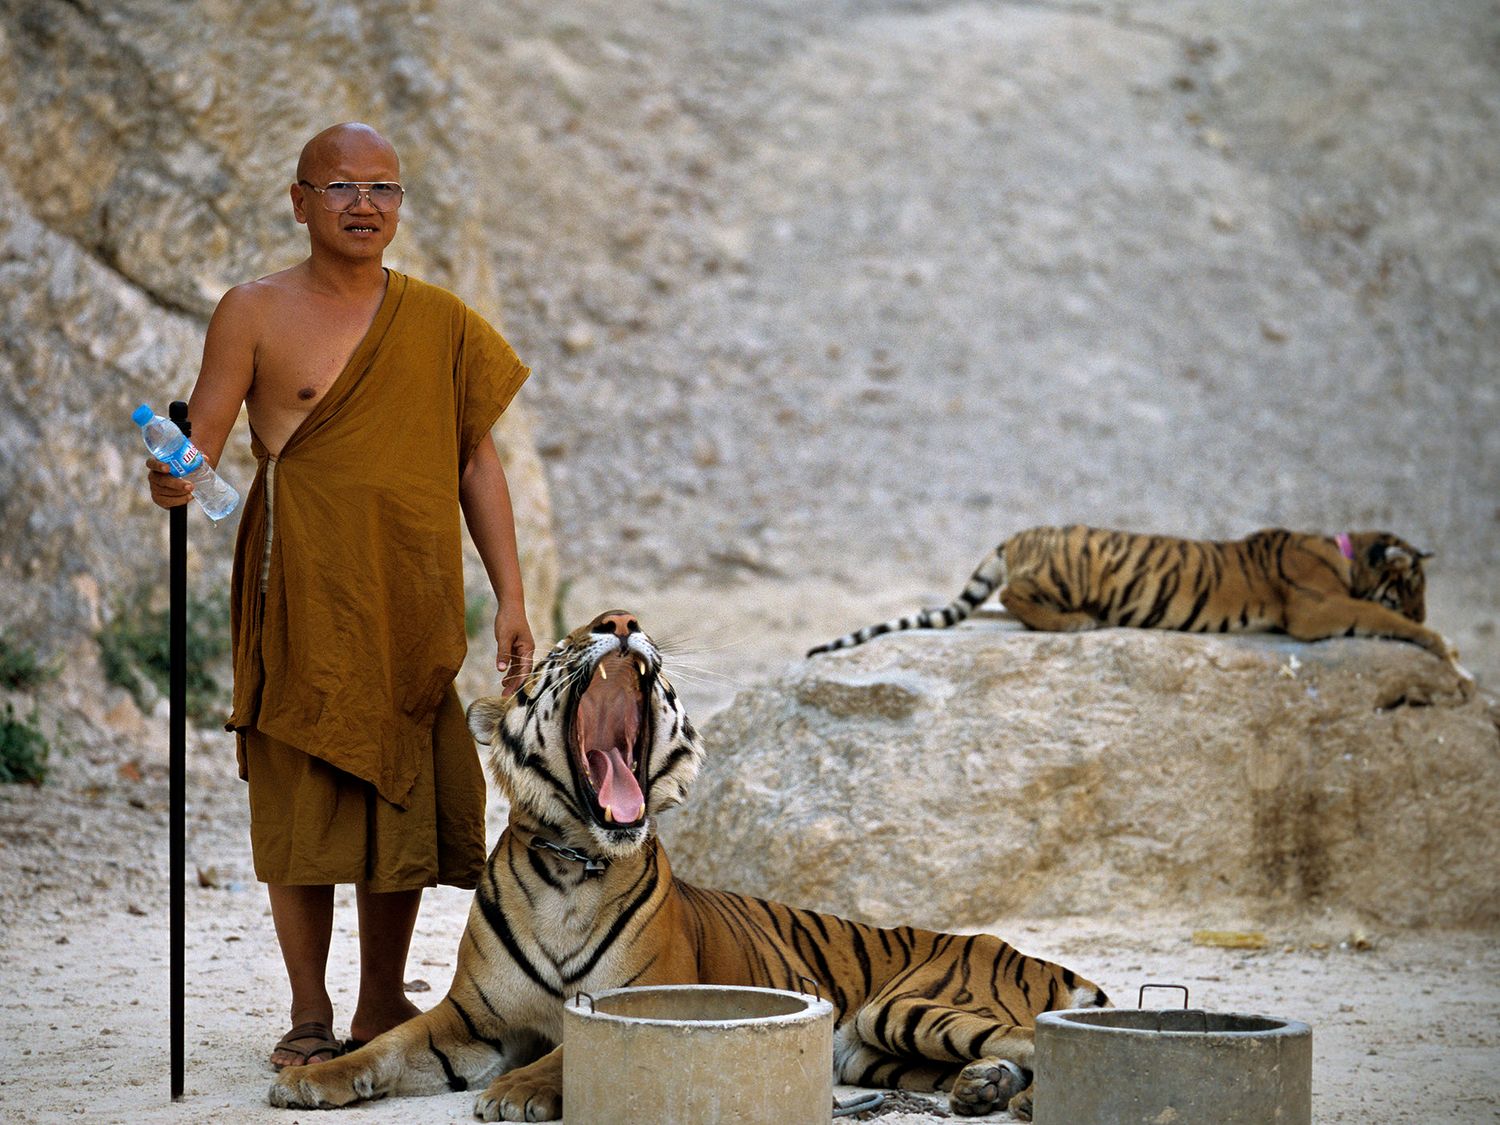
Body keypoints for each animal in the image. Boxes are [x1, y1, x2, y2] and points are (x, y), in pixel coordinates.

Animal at [269, 609, 1110, 1121]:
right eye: (560, 647)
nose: (619, 621)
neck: (574, 864)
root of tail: (1027, 952)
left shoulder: (643, 997)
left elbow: (564, 1050)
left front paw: (517, 1091)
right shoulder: (468, 1017)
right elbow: (386, 1044)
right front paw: (310, 1076)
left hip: (903, 1008)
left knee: (1036, 1037)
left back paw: (1023, 1097)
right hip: (881, 1053)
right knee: (1006, 1054)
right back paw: (984, 1088)